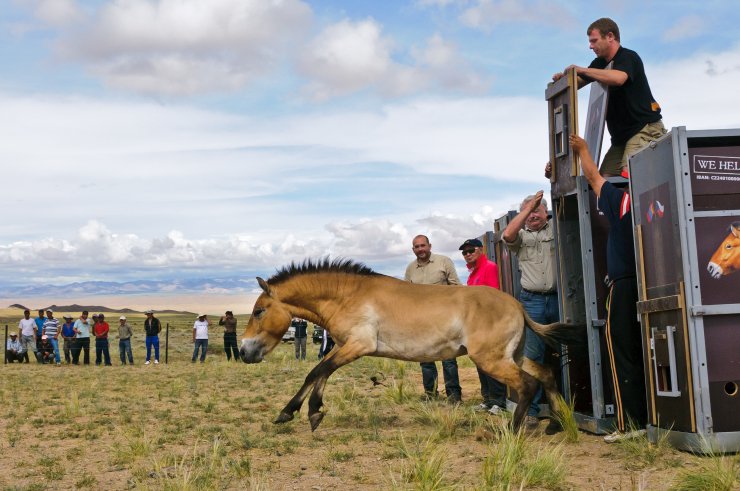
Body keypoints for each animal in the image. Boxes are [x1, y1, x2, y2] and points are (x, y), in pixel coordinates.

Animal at [240, 260, 580, 432]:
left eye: (259, 311)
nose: (244, 351)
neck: (348, 295)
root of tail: (517, 305)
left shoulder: (358, 345)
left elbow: (318, 371)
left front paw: (298, 412)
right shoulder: (344, 346)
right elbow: (319, 373)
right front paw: (306, 413)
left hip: (491, 360)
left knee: (527, 384)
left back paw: (513, 430)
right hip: (512, 355)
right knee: (545, 374)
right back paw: (561, 422)